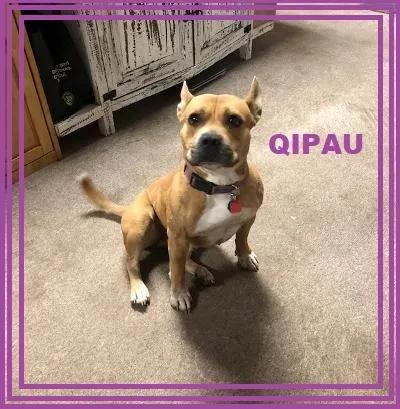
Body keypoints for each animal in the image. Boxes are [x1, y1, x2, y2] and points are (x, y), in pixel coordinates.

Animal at [79, 77, 264, 312]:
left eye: (234, 120)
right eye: (194, 118)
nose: (210, 139)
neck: (218, 185)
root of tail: (129, 206)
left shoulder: (250, 217)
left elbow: (242, 237)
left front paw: (244, 256)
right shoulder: (177, 237)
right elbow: (176, 271)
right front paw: (179, 293)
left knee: (182, 261)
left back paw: (201, 270)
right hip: (141, 224)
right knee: (135, 263)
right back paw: (139, 288)